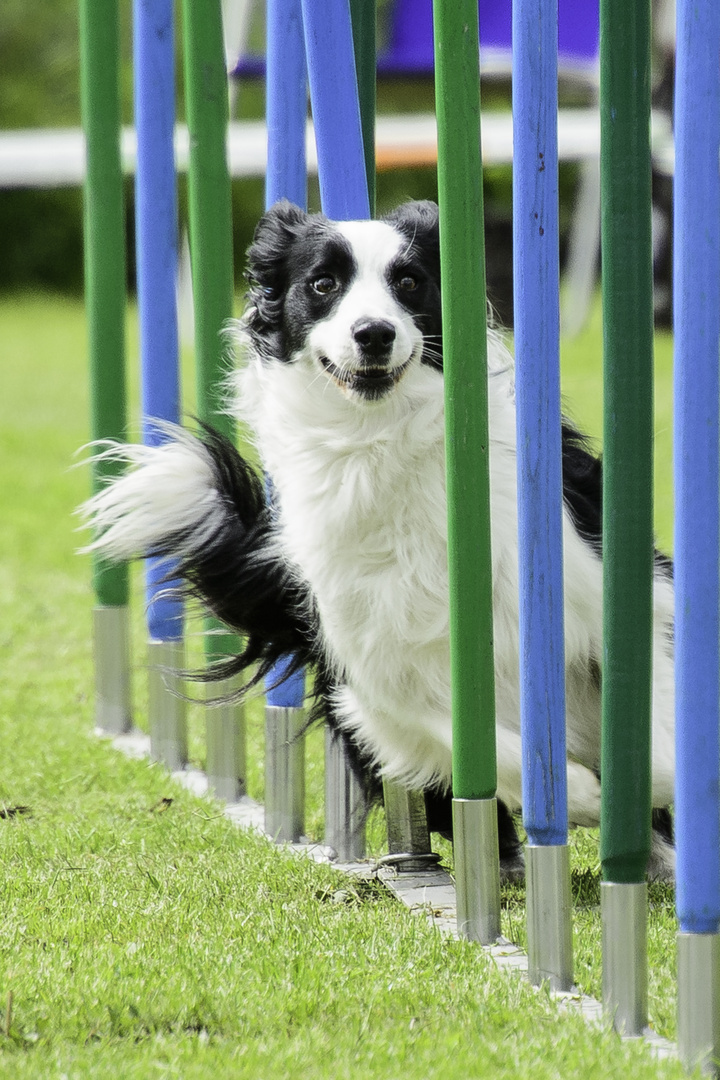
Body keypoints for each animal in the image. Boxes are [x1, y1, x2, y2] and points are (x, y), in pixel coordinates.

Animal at [81, 200, 677, 876]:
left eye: (410, 282)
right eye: (322, 284)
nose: (374, 334)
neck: (379, 440)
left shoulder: (608, 593)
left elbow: (656, 739)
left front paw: (646, 786)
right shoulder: (374, 669)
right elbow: (467, 739)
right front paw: (578, 795)